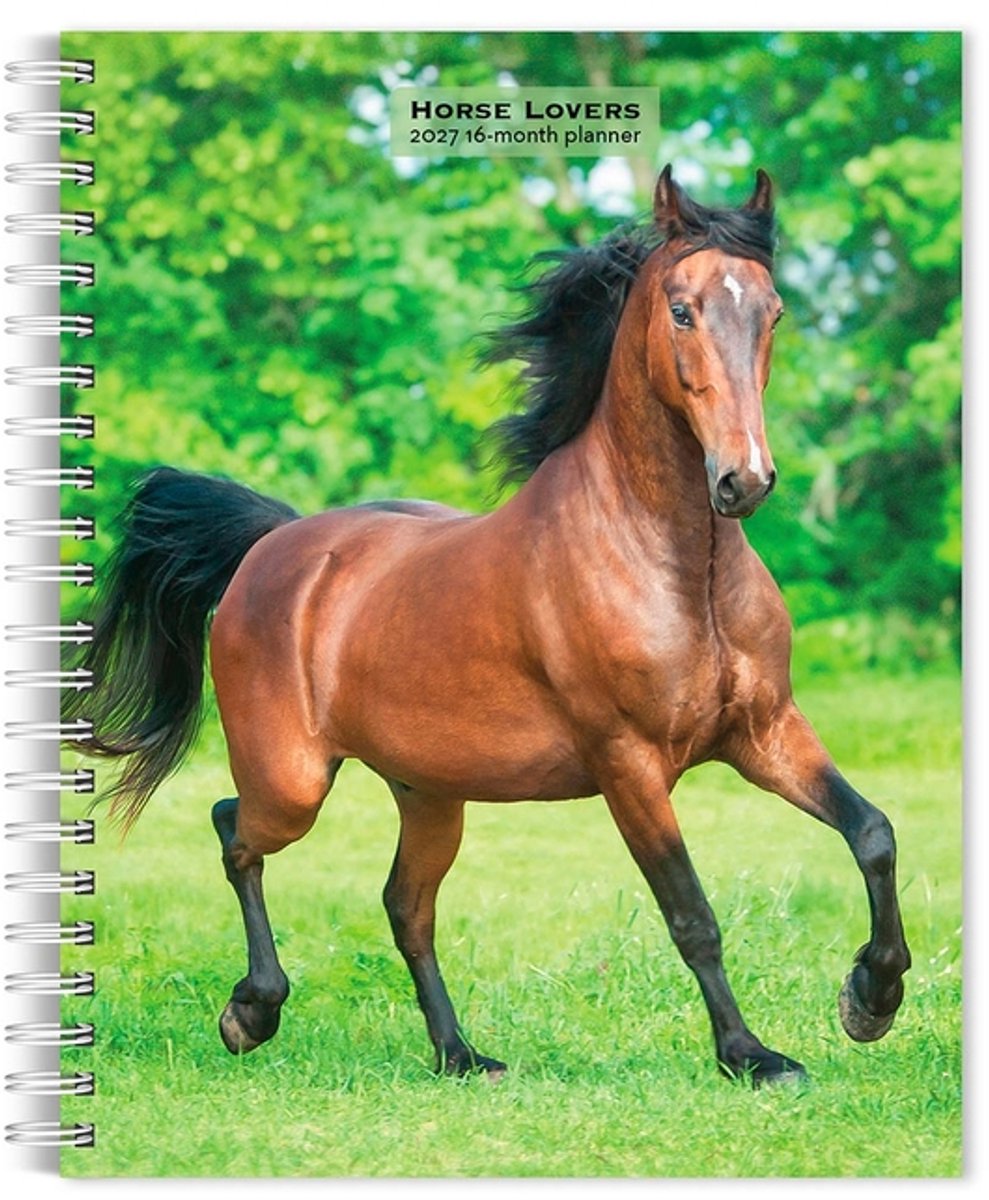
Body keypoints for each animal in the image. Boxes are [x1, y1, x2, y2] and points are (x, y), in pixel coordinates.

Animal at [68, 166, 910, 1086]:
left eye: (772, 311)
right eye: (682, 310)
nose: (742, 480)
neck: (682, 572)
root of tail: (273, 545)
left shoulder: (763, 732)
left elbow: (871, 832)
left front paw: (870, 999)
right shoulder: (628, 764)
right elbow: (691, 914)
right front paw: (750, 1055)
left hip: (429, 792)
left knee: (404, 904)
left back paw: (458, 1053)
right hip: (292, 781)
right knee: (234, 830)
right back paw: (251, 1012)